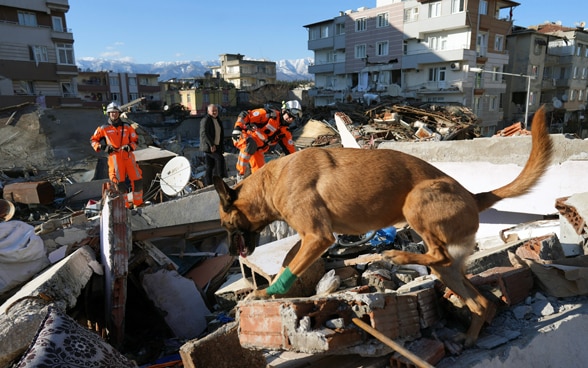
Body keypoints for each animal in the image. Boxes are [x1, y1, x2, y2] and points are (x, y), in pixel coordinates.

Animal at [214, 105, 552, 346]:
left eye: (224, 223)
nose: (231, 253)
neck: (272, 183)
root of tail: (473, 195)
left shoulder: (317, 237)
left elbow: (289, 270)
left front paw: (265, 293)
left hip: (415, 202)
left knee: (440, 257)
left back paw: (398, 256)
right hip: (449, 270)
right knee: (479, 301)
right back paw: (469, 337)